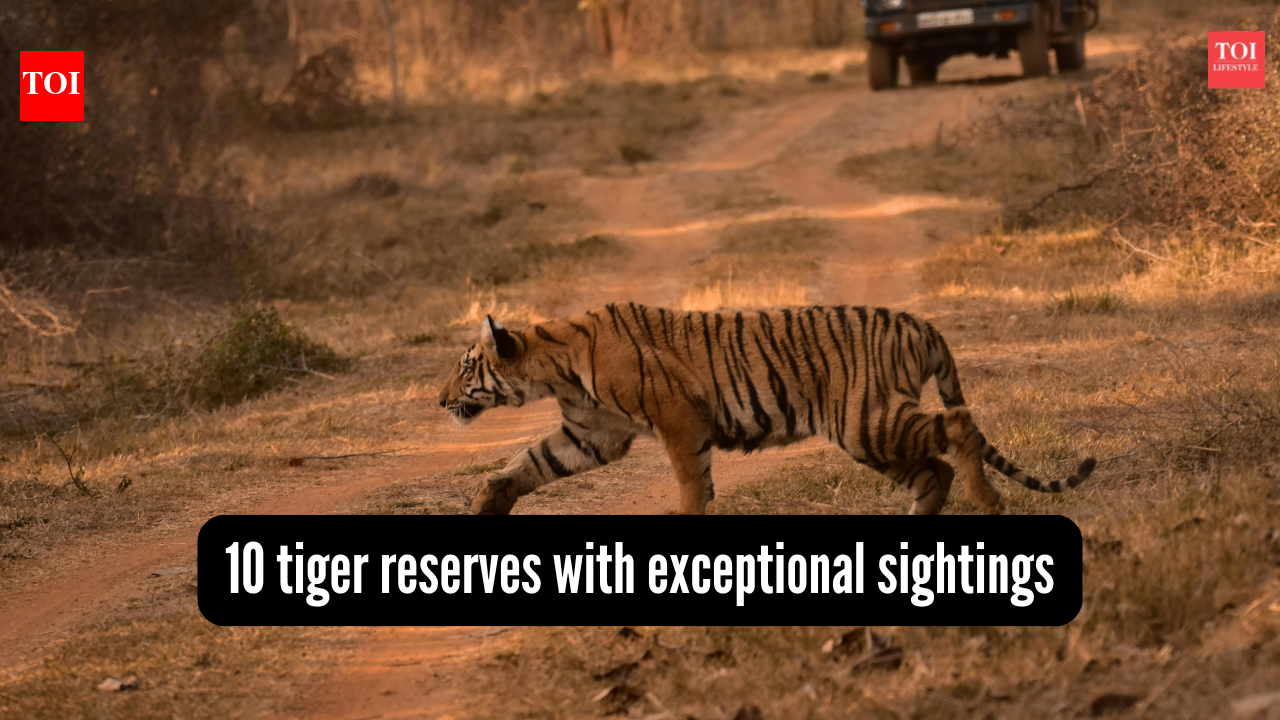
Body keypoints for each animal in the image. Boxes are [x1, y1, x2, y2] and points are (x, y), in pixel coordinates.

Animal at [436, 303, 1096, 516]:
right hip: (870, 433)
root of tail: (920, 322)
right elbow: (527, 463)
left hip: (868, 421)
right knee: (934, 471)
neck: (554, 367)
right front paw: (486, 504)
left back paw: (989, 501)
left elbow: (690, 485)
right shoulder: (592, 434)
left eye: (466, 369)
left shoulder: (678, 422)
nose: (439, 401)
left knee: (958, 427)